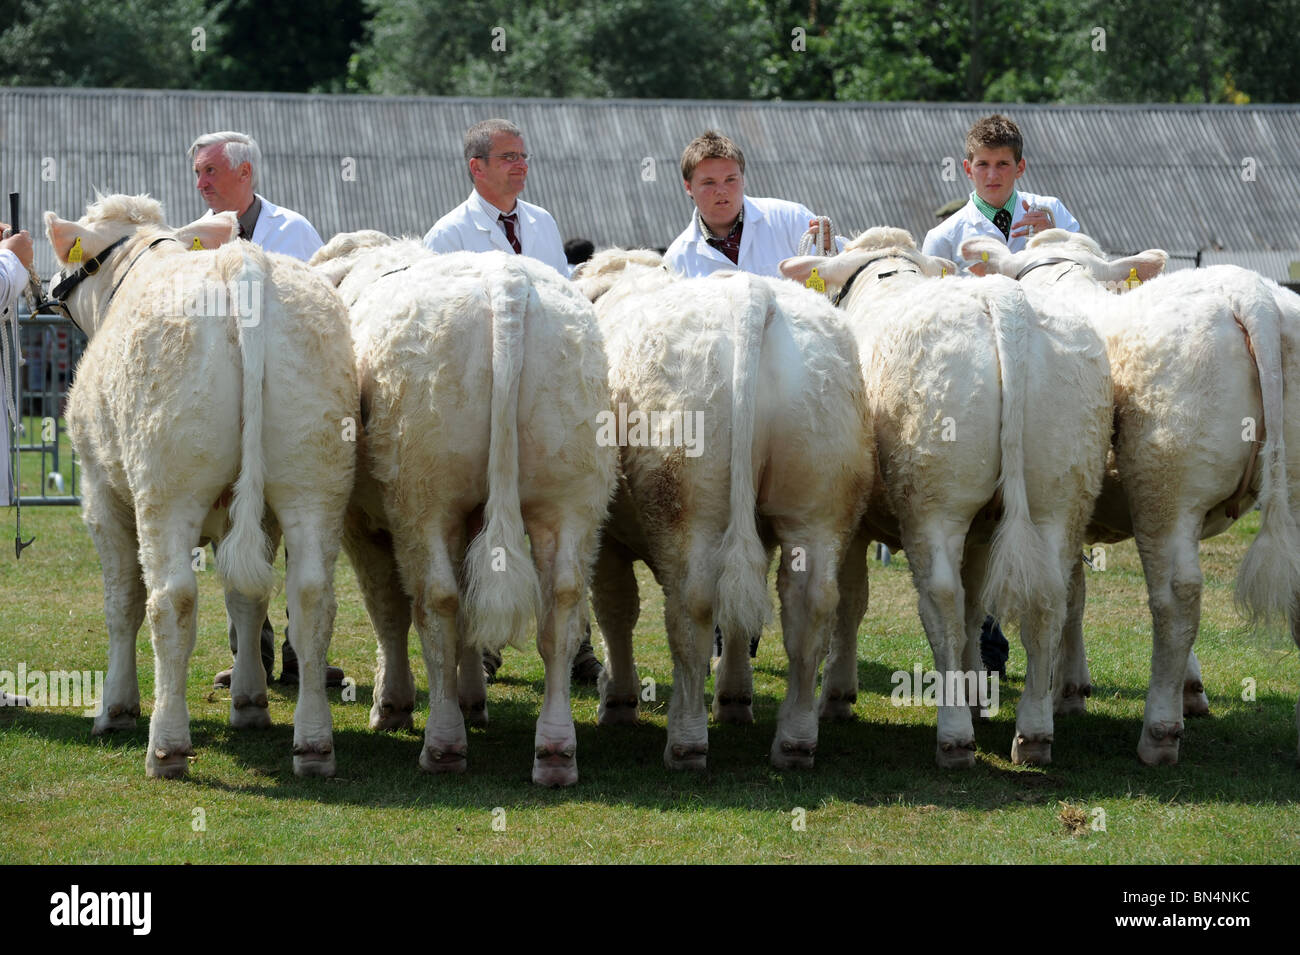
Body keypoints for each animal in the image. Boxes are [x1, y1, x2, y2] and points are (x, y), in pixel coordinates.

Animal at [45, 192, 356, 779]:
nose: (50, 287)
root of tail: (241, 263)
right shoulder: (258, 514)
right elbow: (246, 599)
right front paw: (250, 703)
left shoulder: (100, 494)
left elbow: (121, 601)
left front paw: (115, 709)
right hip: (314, 479)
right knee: (310, 597)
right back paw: (314, 744)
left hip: (166, 489)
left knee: (171, 601)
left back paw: (165, 745)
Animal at [314, 235, 618, 789]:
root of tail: (506, 282)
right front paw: (473, 695)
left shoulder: (360, 525)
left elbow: (387, 608)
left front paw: (392, 705)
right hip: (571, 496)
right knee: (559, 607)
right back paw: (555, 750)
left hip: (424, 500)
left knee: (436, 603)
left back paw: (443, 743)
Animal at [577, 250, 873, 774]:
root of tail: (753, 295)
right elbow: (739, 622)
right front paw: (735, 698)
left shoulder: (606, 535)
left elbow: (616, 609)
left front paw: (617, 699)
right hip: (817, 504)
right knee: (810, 605)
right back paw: (795, 740)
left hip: (687, 506)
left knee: (692, 606)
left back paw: (686, 739)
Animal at [774, 229, 1112, 769]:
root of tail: (1003, 302)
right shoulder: (982, 532)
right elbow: (977, 606)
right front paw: (976, 695)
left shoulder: (850, 521)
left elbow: (852, 601)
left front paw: (837, 695)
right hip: (1059, 494)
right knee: (1048, 600)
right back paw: (1033, 733)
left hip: (935, 502)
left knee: (943, 602)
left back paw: (954, 734)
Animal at [967, 229, 1300, 764]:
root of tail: (1253, 296)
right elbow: (1073, 592)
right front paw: (1191, 689)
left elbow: (1070, 596)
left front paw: (1067, 691)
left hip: (1165, 484)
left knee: (1176, 597)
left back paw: (1159, 732)